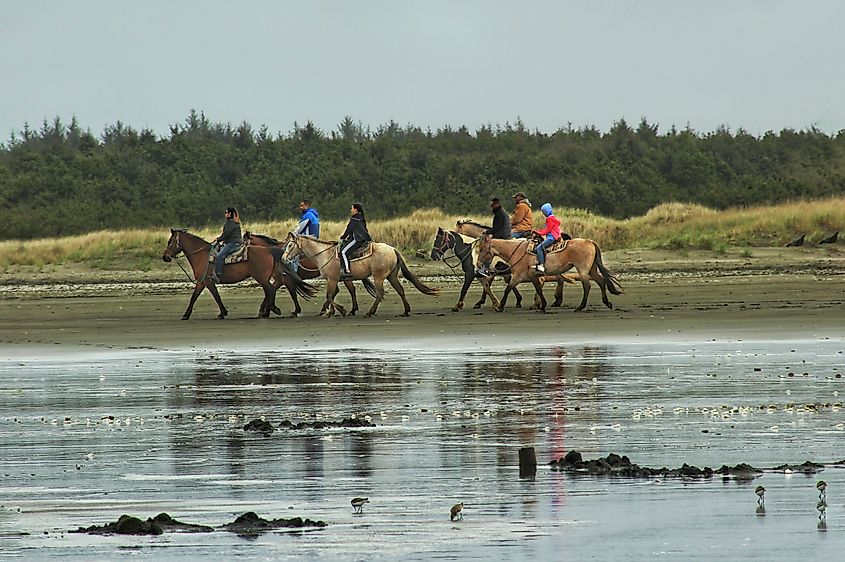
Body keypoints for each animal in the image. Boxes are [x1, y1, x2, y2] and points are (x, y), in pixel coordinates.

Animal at [160, 225, 314, 318]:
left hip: (261, 277)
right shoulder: (205, 282)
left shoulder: (205, 281)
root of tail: (269, 249)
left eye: (170, 242)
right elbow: (211, 296)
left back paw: (271, 310)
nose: (165, 257)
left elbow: (201, 297)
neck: (202, 256)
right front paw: (222, 313)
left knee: (271, 290)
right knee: (274, 289)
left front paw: (186, 314)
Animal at [244, 229, 376, 316]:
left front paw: (269, 310)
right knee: (340, 291)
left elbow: (285, 292)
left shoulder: (282, 278)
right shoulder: (282, 279)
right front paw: (267, 310)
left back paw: (348, 310)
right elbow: (275, 291)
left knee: (350, 290)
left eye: (244, 242)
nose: (284, 259)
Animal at [280, 232, 438, 318]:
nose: (283, 258)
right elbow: (332, 295)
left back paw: (370, 312)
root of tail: (393, 249)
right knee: (400, 290)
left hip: (379, 277)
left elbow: (330, 296)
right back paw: (405, 311)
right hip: (391, 276)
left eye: (290, 245)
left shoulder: (332, 279)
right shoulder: (334, 280)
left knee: (380, 293)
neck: (324, 254)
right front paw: (331, 312)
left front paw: (341, 310)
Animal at [474, 231, 620, 310]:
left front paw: (500, 306)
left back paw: (580, 307)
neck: (516, 251)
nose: (478, 264)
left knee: (587, 286)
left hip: (583, 269)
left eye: (482, 249)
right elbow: (538, 289)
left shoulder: (517, 276)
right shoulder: (533, 276)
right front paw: (542, 305)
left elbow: (508, 289)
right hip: (592, 269)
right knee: (601, 281)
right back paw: (607, 303)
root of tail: (589, 241)